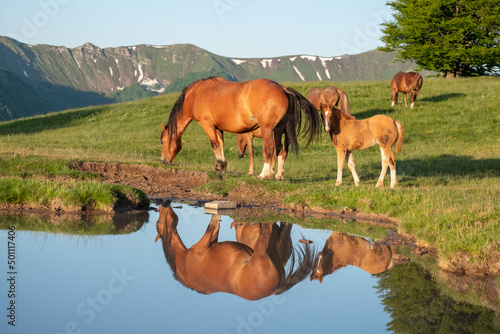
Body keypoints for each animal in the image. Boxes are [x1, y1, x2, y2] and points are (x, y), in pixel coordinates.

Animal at [154, 202, 314, 302]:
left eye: (158, 223)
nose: (162, 207)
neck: (183, 261)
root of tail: (274, 290)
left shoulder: (206, 243)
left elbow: (212, 226)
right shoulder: (207, 243)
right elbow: (213, 225)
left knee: (270, 228)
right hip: (267, 251)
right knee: (270, 230)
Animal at [162, 76, 322, 180]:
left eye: (163, 142)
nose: (163, 161)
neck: (195, 95)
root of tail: (283, 89)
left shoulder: (207, 124)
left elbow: (214, 145)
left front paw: (218, 166)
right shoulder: (218, 127)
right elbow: (221, 144)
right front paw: (222, 166)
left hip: (267, 130)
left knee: (269, 149)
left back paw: (264, 174)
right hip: (278, 130)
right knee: (279, 150)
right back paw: (275, 174)